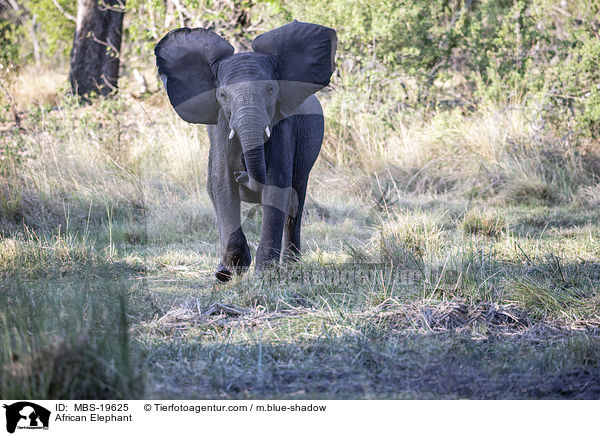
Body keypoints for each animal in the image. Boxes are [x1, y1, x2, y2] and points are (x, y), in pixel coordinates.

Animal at [155, 20, 338, 282]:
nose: (242, 173)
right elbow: (222, 185)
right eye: (222, 95)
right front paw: (227, 273)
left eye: (271, 90)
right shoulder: (221, 128)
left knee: (296, 201)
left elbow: (277, 185)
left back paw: (292, 265)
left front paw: (265, 273)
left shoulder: (283, 126)